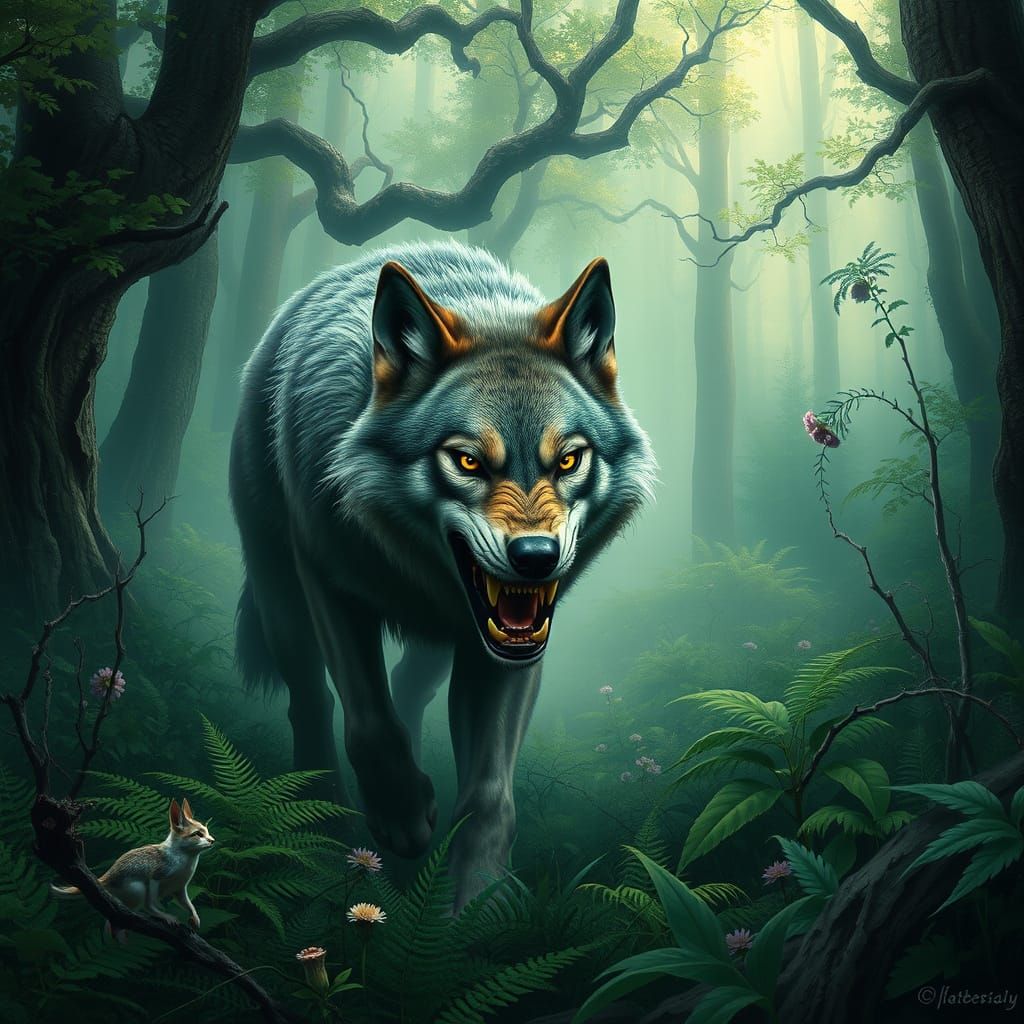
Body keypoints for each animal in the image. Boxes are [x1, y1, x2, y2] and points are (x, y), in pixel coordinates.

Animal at [230, 240, 655, 909]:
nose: (536, 556)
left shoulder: (505, 653)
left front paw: (477, 907)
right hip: (281, 599)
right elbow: (367, 720)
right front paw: (399, 816)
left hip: (440, 647)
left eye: (568, 460)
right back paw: (322, 822)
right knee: (310, 700)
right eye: (467, 460)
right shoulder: (330, 583)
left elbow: (488, 795)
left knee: (409, 685)